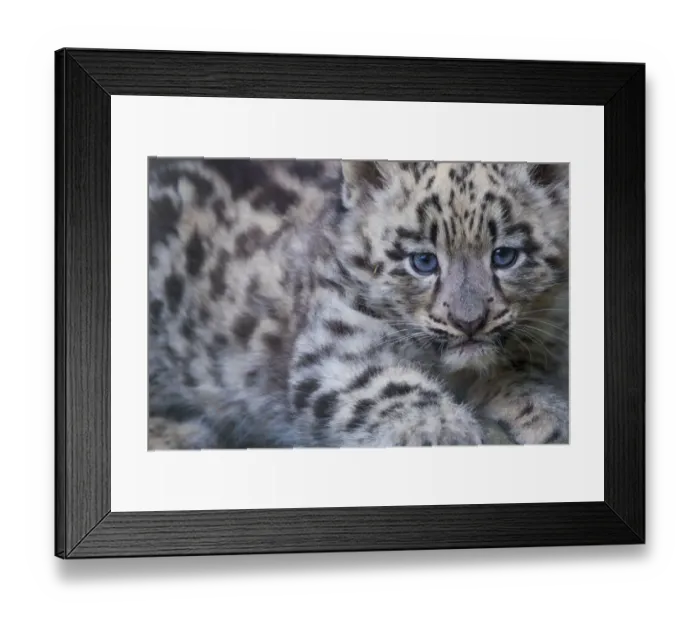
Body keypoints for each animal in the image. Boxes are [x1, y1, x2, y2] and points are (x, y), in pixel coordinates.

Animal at [147, 157, 569, 450]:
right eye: (423, 260)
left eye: (504, 256)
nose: (470, 322)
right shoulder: (335, 345)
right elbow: (384, 384)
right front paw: (442, 429)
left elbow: (522, 365)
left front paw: (544, 411)